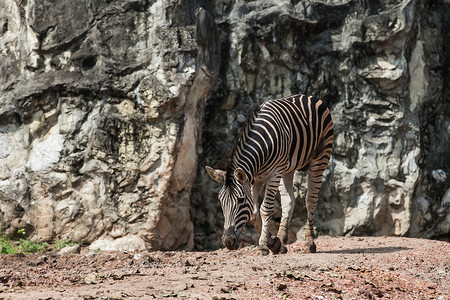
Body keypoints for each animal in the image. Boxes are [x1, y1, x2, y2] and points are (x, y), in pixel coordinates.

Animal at [206, 92, 332, 254]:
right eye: (221, 201)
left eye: (240, 201)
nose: (228, 242)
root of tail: (309, 96)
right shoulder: (254, 178)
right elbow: (254, 213)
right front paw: (272, 243)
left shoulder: (274, 173)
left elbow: (265, 209)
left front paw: (264, 244)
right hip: (287, 169)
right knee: (288, 200)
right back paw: (282, 240)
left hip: (319, 160)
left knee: (310, 200)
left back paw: (309, 243)